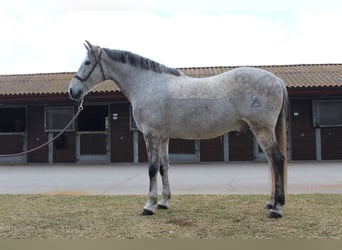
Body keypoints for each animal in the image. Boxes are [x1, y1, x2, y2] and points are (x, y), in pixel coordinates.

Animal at [68, 41, 288, 219]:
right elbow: (164, 167)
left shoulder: (151, 136)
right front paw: (164, 202)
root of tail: (277, 80)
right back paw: (271, 202)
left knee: (276, 160)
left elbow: (151, 169)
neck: (147, 83)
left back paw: (276, 208)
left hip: (262, 129)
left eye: (87, 62)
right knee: (271, 163)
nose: (73, 91)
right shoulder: (163, 138)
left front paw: (149, 205)